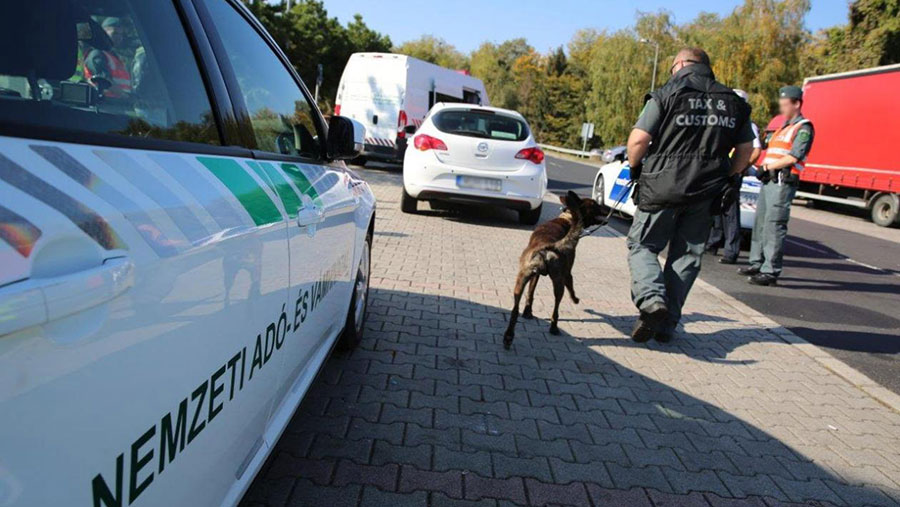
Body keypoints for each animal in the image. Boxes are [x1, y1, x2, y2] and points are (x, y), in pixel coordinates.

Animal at [506, 190, 604, 350]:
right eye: (595, 205)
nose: (606, 208)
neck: (568, 219)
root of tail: (546, 248)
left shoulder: (535, 276)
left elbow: (530, 293)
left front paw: (527, 312)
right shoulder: (568, 273)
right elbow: (571, 287)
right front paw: (575, 299)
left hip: (522, 279)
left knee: (515, 309)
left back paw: (508, 337)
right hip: (559, 282)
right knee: (556, 308)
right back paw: (554, 327)